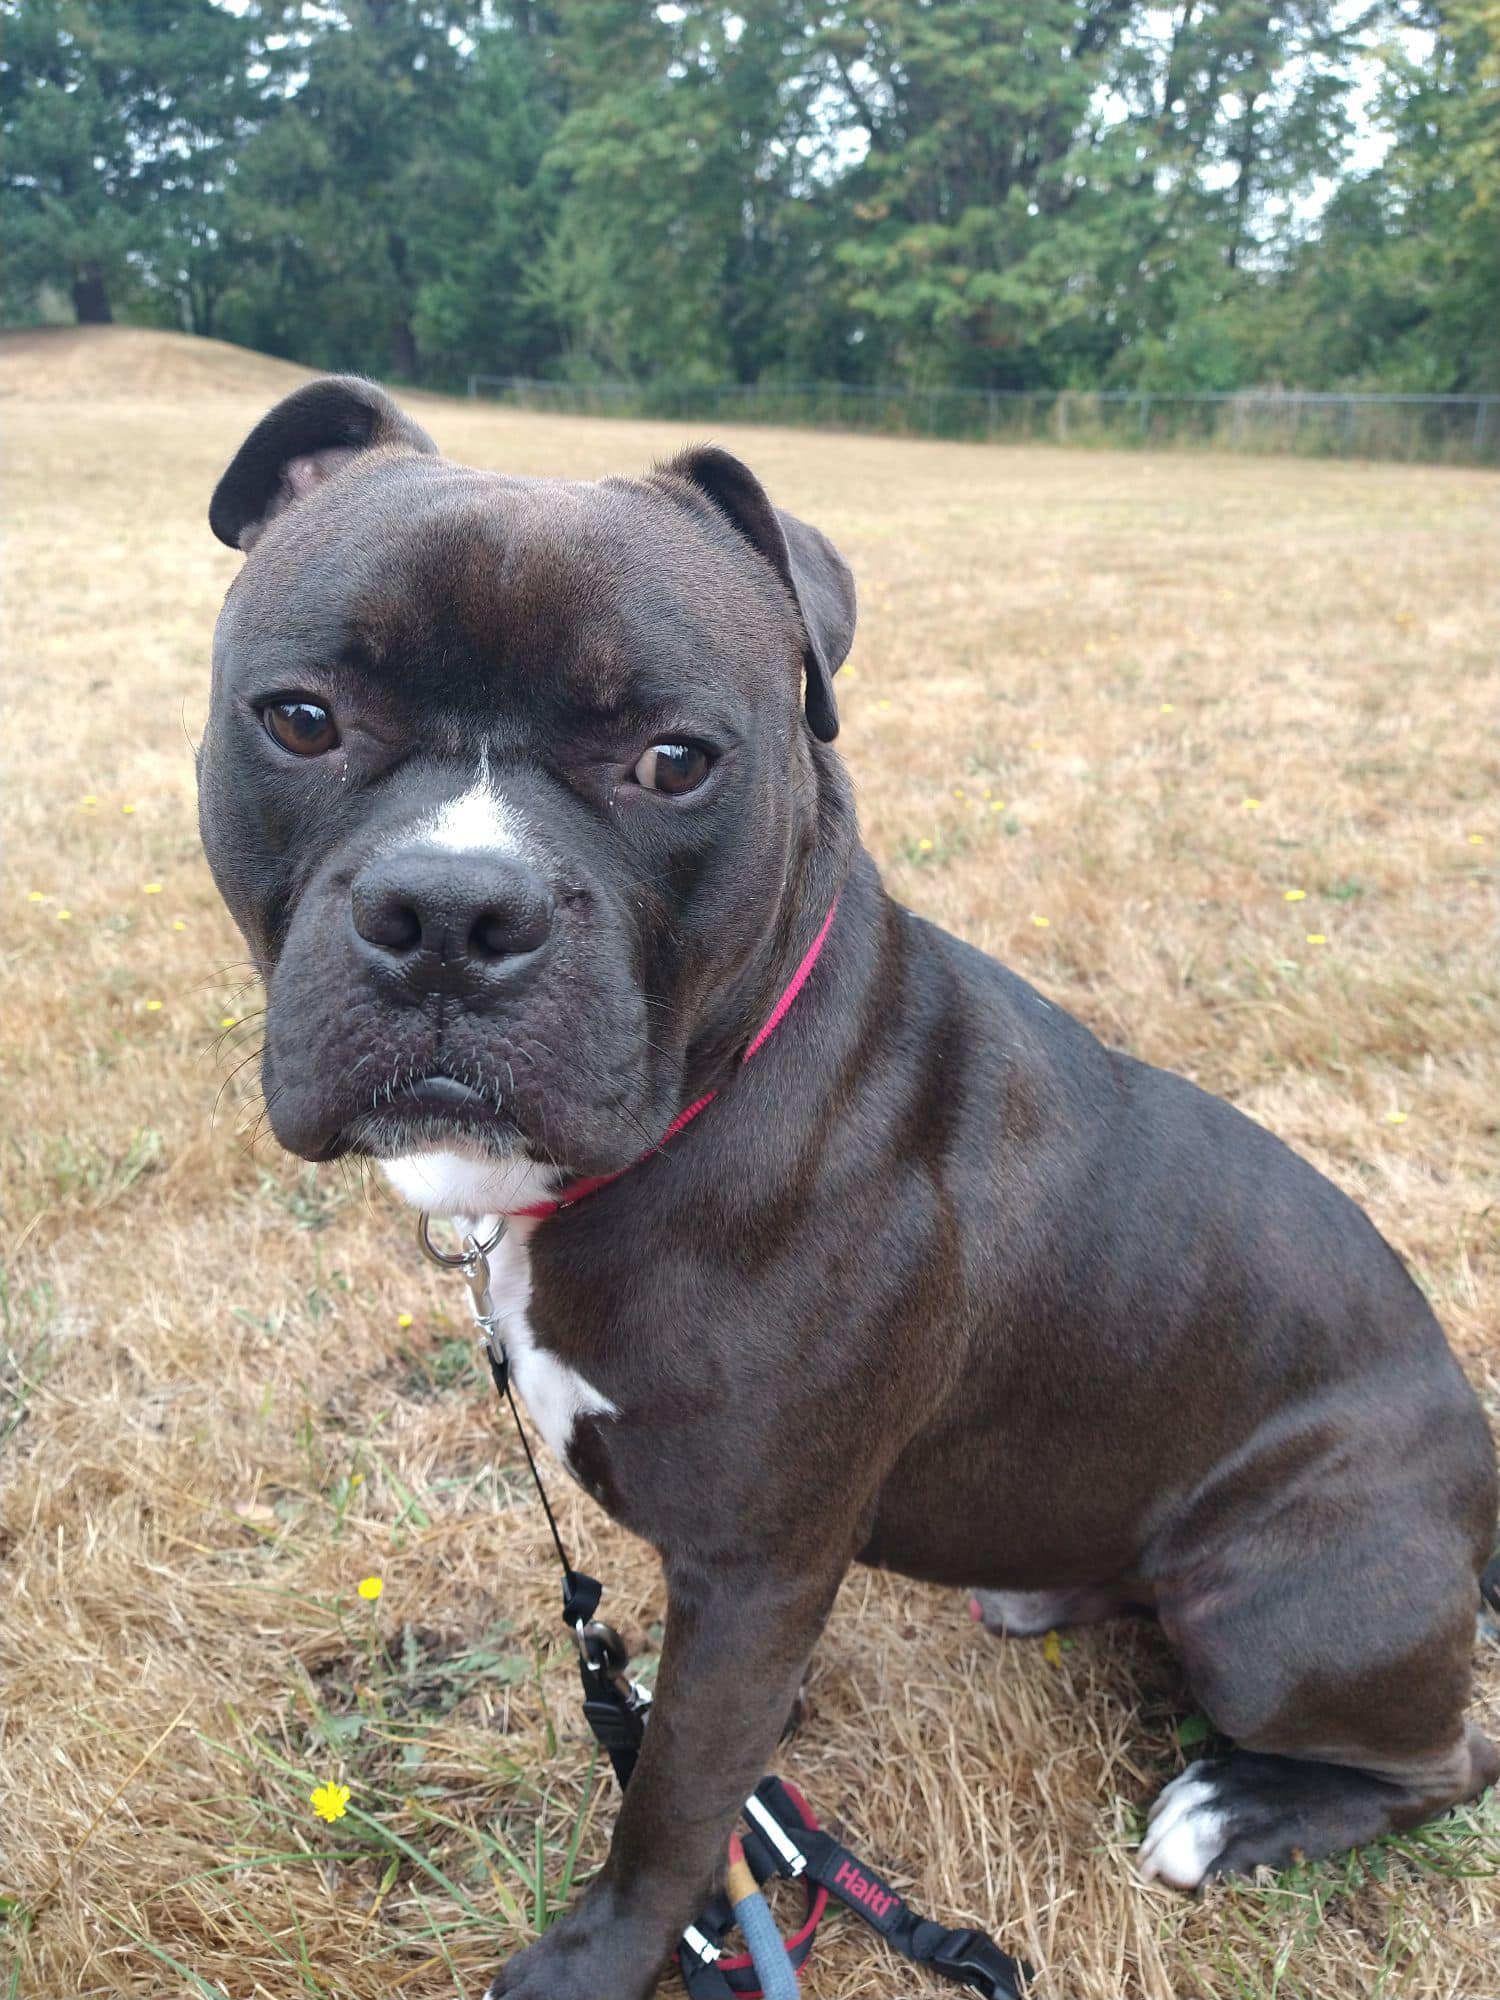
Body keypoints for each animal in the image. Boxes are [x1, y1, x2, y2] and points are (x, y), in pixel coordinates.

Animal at [203, 378, 1500, 2000]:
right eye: (301, 719)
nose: (452, 910)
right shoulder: (755, 1585)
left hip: (1272, 1606)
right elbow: (714, 1747)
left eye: (675, 760)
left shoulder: (756, 1564)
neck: (707, 1093)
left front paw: (600, 1956)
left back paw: (1231, 1809)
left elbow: (671, 1804)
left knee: (1450, 1757)